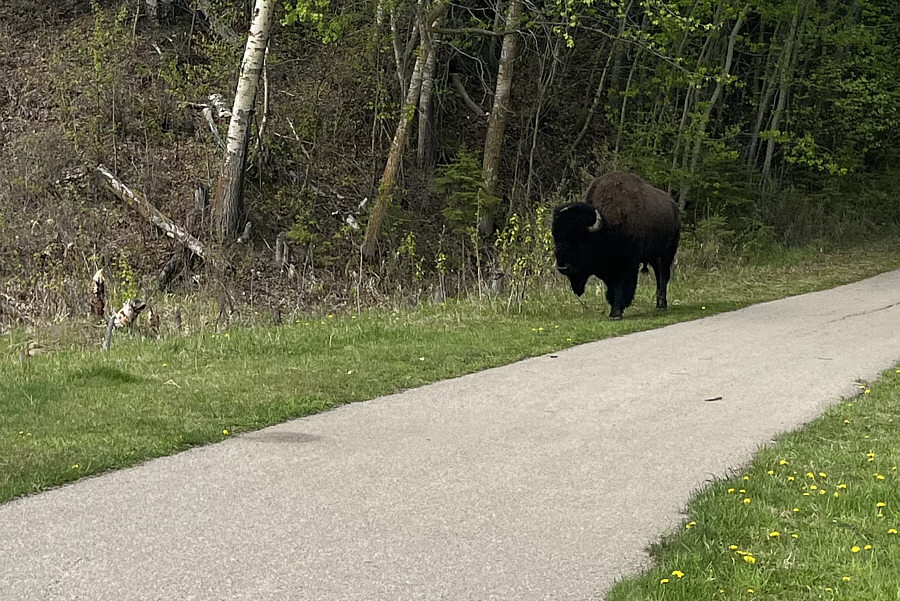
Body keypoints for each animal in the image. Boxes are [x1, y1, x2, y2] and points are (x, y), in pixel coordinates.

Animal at [548, 171, 684, 322]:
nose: (563, 267)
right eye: (556, 239)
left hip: (668, 252)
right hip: (654, 256)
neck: (606, 228)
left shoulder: (627, 265)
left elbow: (620, 287)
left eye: (579, 240)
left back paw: (661, 305)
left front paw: (616, 313)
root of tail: (673, 206)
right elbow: (612, 288)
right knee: (659, 274)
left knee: (664, 276)